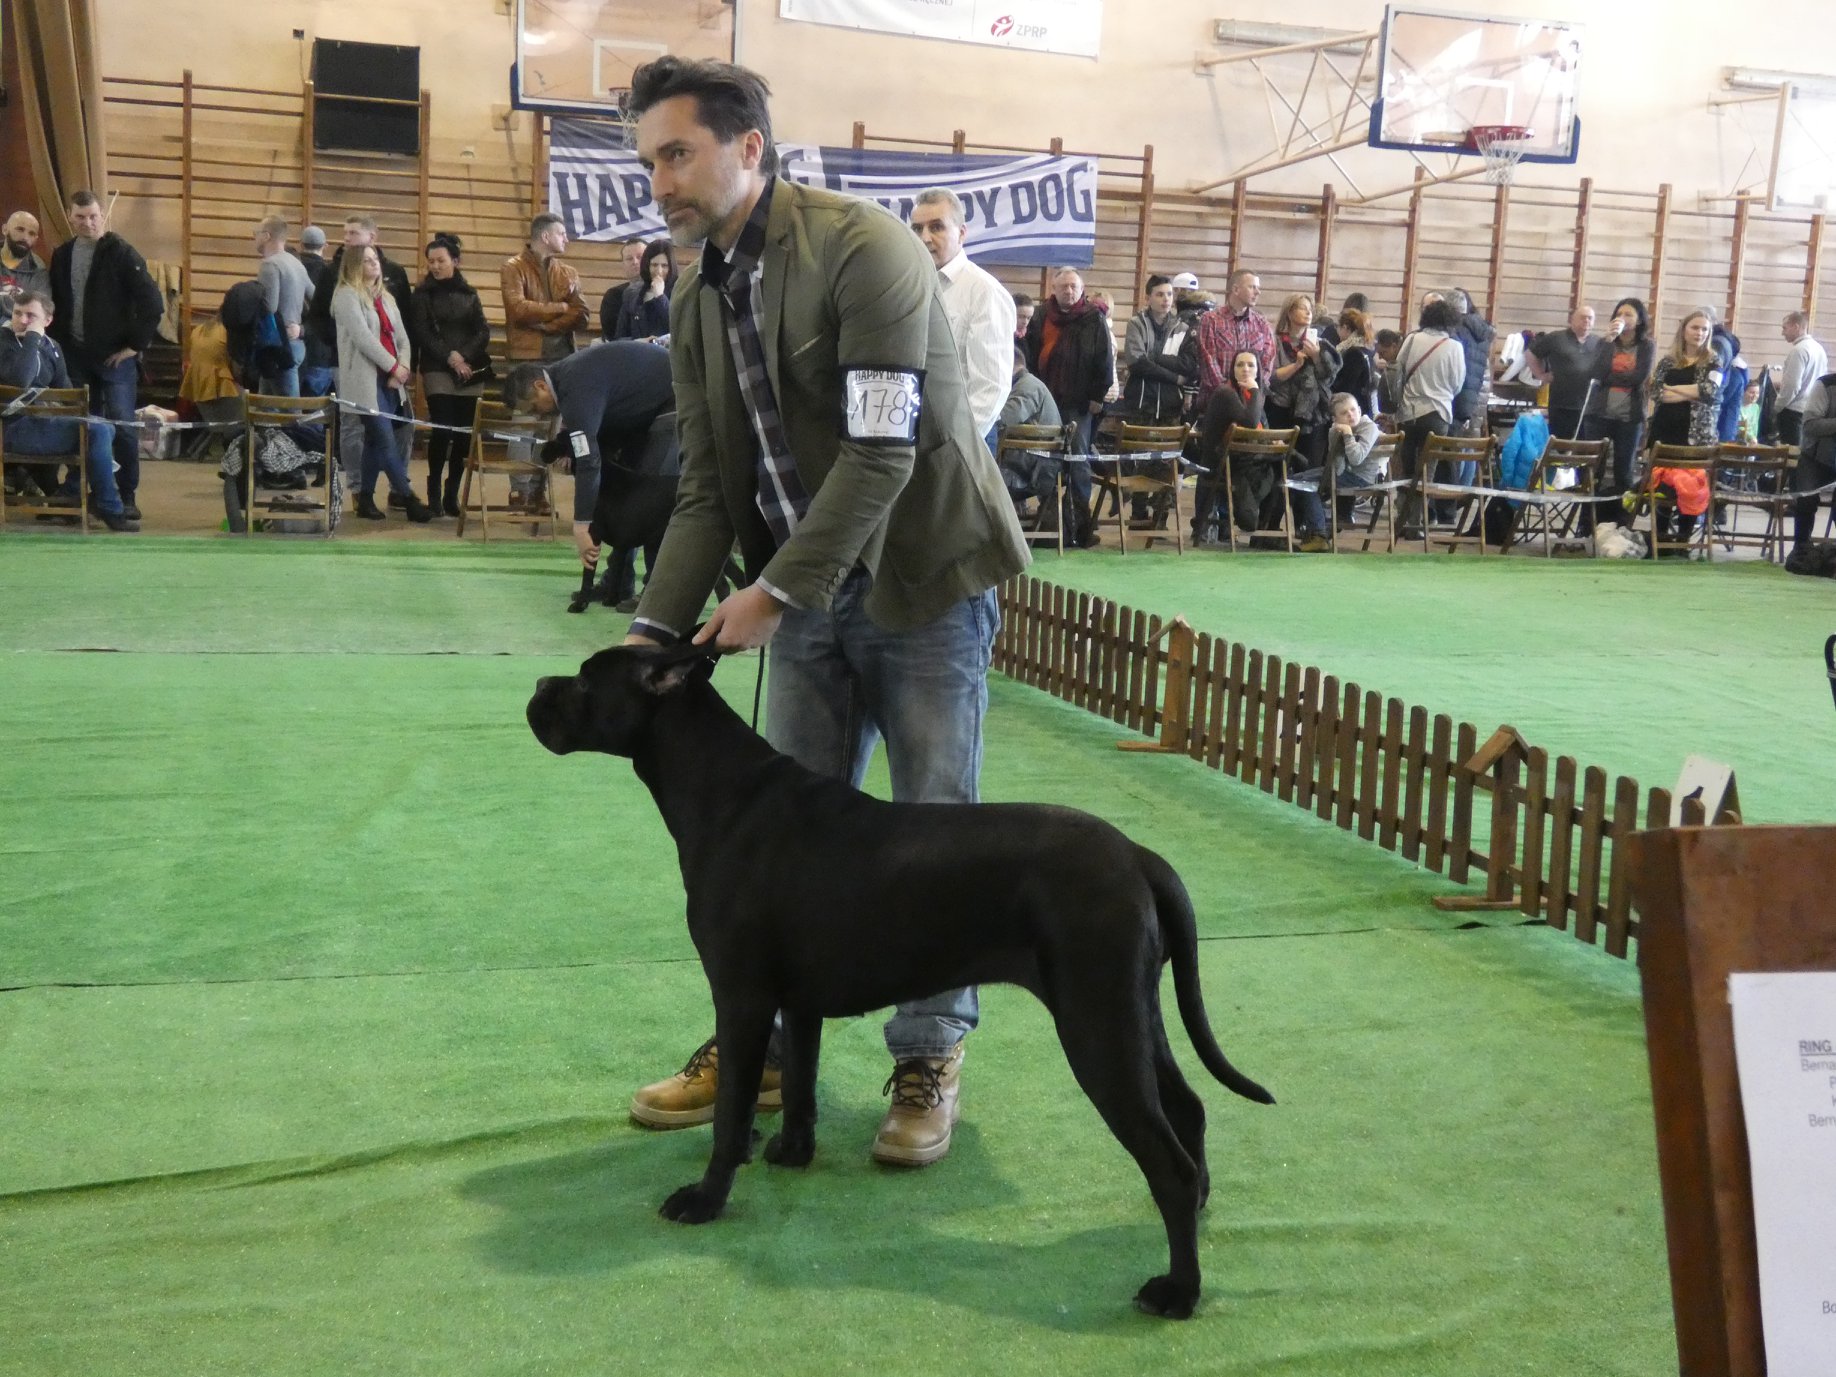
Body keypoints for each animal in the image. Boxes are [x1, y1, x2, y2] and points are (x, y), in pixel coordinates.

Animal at [528, 646, 1277, 1314]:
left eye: (587, 680)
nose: (538, 688)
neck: (724, 792)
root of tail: (1138, 855)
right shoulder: (797, 1001)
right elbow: (798, 1085)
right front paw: (793, 1153)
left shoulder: (740, 995)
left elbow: (732, 1113)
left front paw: (706, 1197)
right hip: (1132, 1009)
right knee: (1189, 1109)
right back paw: (1199, 1212)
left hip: (1097, 1023)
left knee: (1167, 1159)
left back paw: (1178, 1290)